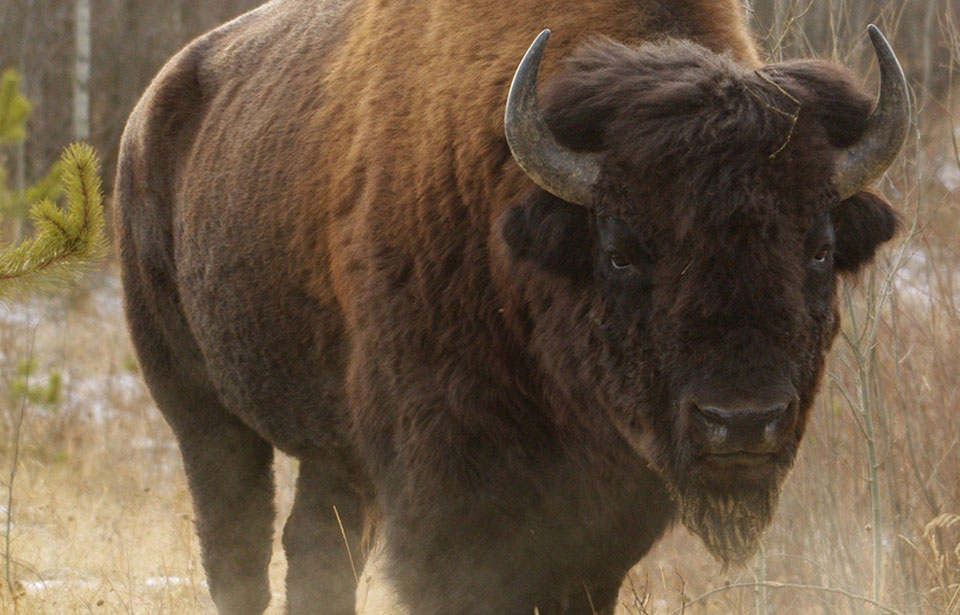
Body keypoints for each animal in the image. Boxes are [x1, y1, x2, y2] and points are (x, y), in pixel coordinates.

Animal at [112, 0, 908, 612]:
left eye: (817, 247)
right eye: (622, 250)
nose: (740, 422)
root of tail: (145, 118)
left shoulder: (608, 516)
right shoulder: (447, 497)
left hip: (333, 449)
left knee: (316, 549)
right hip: (198, 407)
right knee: (236, 544)